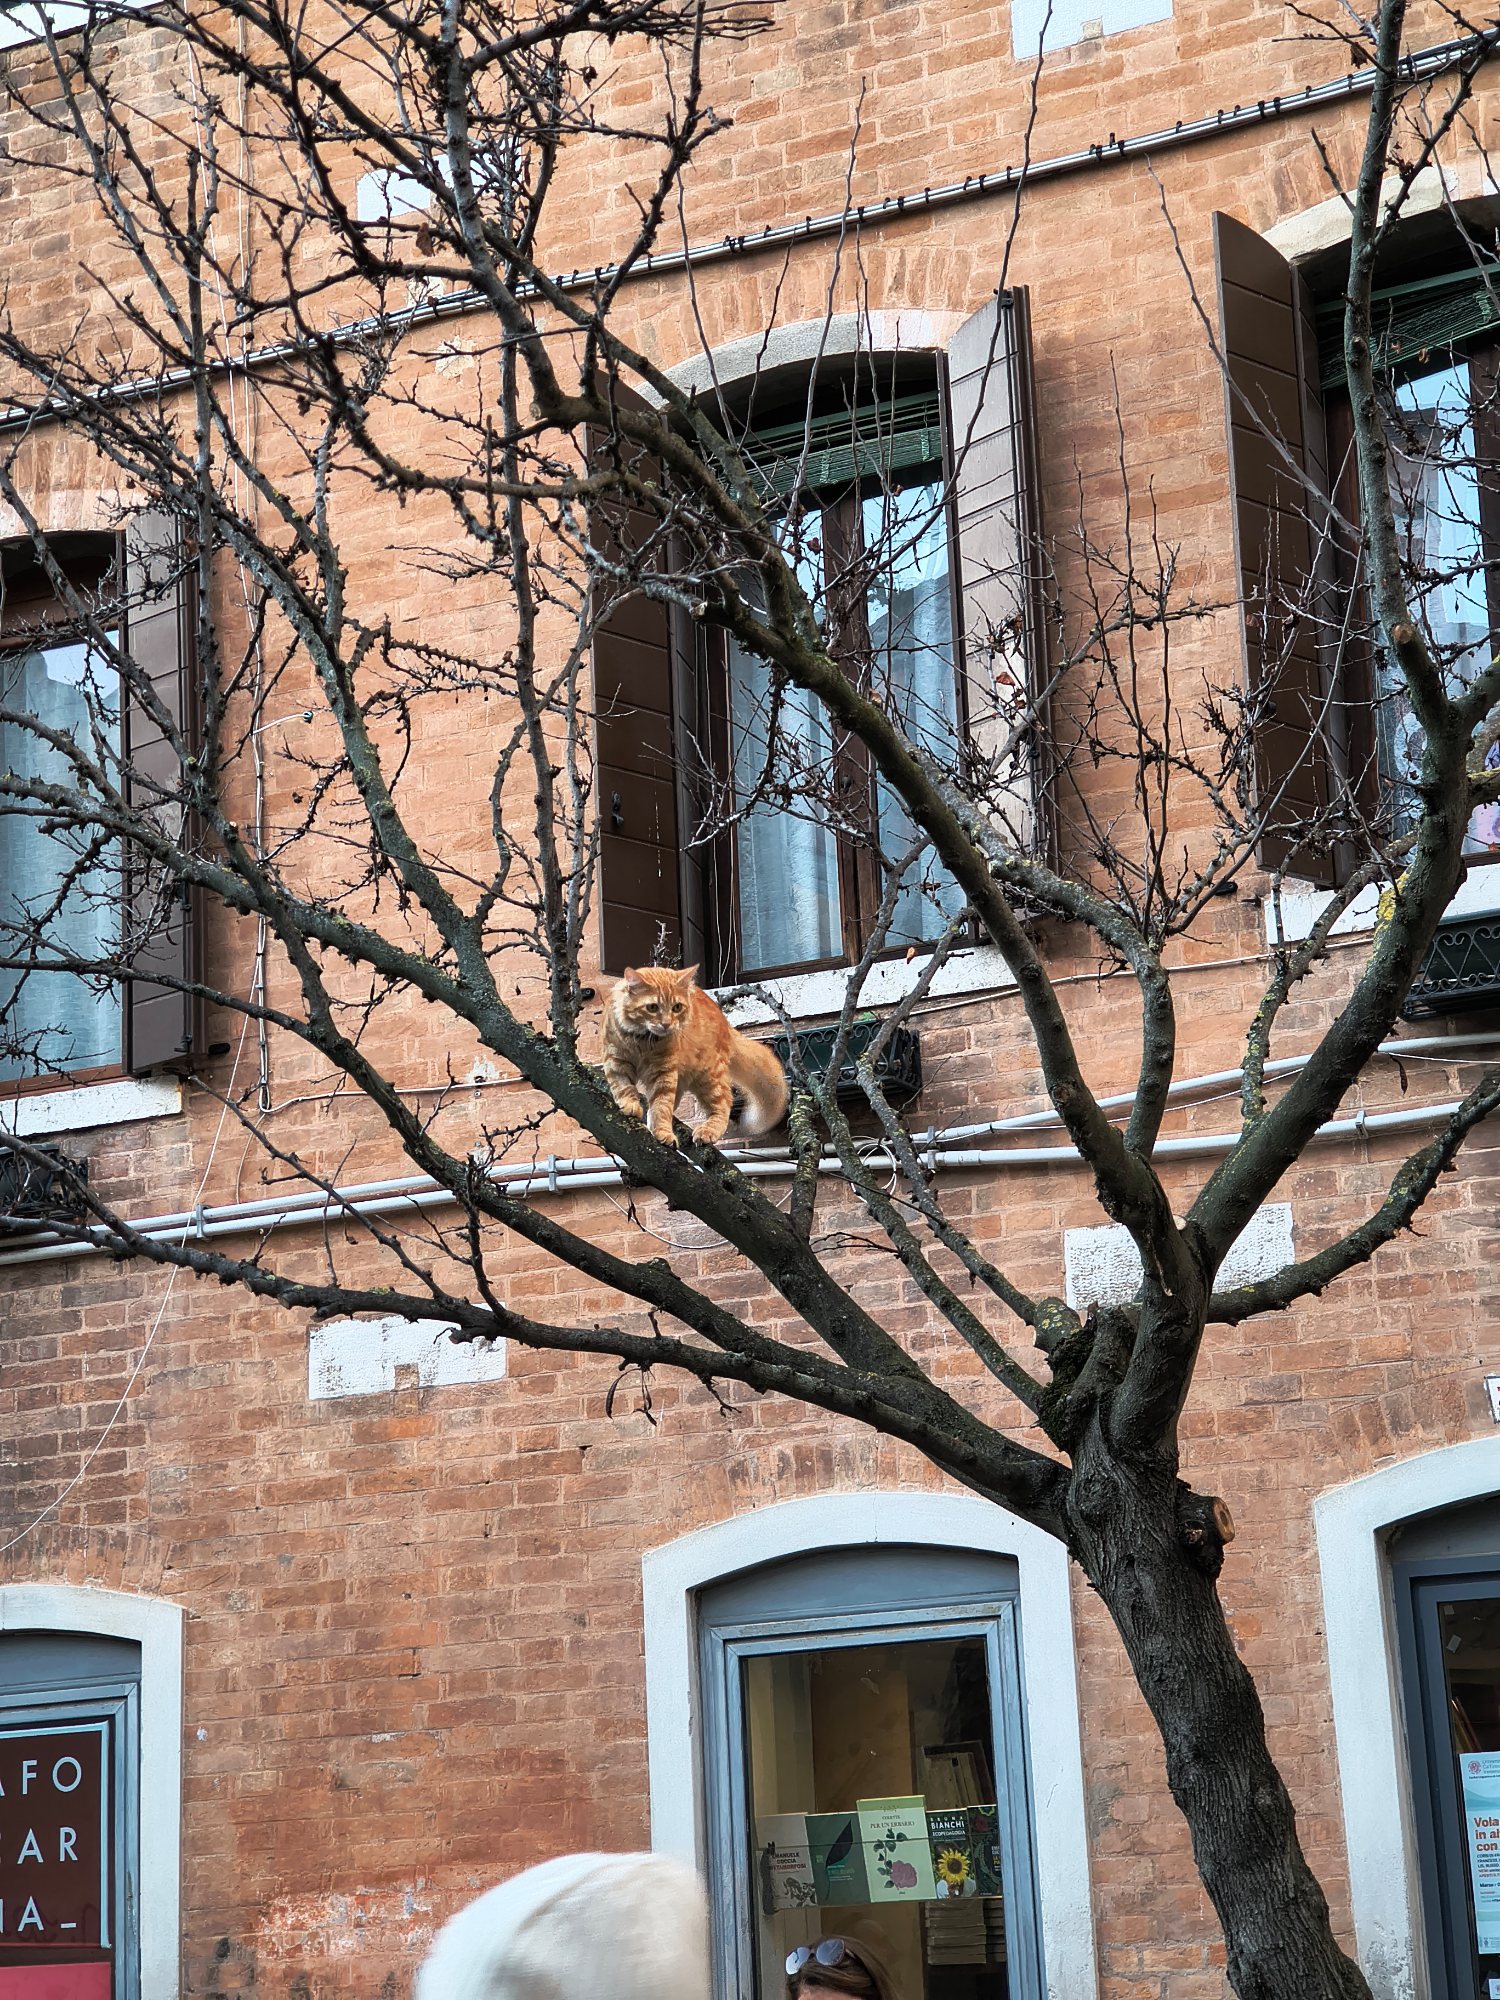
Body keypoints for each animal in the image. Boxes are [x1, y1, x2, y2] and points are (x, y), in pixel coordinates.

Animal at [602, 964, 788, 1146]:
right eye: (652, 1007)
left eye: (677, 1007)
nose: (667, 1024)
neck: (642, 1041)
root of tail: (725, 1023)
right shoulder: (616, 1062)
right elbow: (624, 1088)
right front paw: (630, 1105)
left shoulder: (663, 1072)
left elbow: (662, 1106)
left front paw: (663, 1132)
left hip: (708, 1077)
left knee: (724, 1102)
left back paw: (708, 1131)